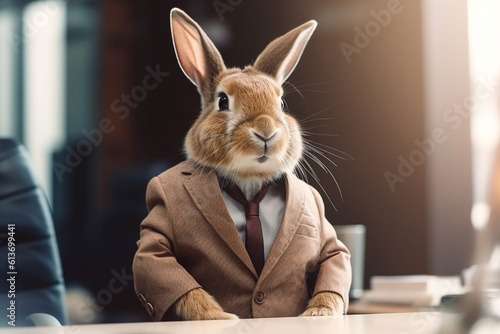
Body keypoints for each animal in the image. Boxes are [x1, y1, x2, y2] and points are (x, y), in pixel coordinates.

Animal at [133, 7, 352, 320]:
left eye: (281, 104)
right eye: (223, 101)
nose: (265, 130)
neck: (249, 181)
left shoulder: (327, 237)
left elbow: (335, 257)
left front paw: (318, 315)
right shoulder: (156, 238)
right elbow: (159, 262)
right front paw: (219, 317)